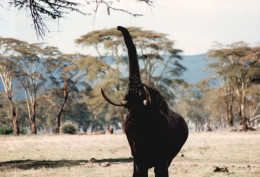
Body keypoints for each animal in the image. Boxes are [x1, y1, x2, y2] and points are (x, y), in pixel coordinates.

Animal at [101, 26, 189, 177]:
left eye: (142, 94)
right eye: (128, 107)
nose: (118, 27)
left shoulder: (162, 151)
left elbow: (160, 169)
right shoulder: (135, 150)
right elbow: (139, 170)